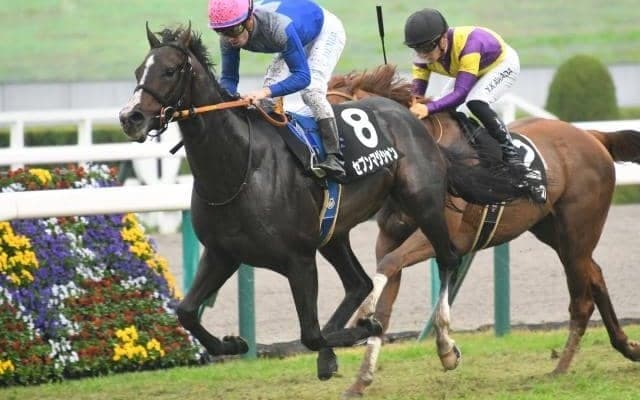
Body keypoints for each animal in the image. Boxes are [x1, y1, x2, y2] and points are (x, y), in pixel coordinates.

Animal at [118, 25, 526, 381]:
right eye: (138, 70)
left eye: (170, 70)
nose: (130, 117)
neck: (239, 169)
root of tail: (412, 116)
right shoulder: (223, 254)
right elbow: (186, 312)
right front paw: (232, 343)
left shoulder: (298, 259)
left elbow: (310, 333)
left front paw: (366, 327)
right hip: (333, 233)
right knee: (359, 283)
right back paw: (336, 352)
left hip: (422, 203)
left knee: (447, 260)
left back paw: (443, 345)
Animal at [326, 65, 640, 397]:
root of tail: (593, 136)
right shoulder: (390, 238)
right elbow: (385, 298)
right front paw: (360, 381)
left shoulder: (443, 237)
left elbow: (394, 267)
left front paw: (440, 348)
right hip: (554, 231)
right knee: (596, 276)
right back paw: (628, 348)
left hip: (577, 232)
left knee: (582, 300)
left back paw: (562, 367)